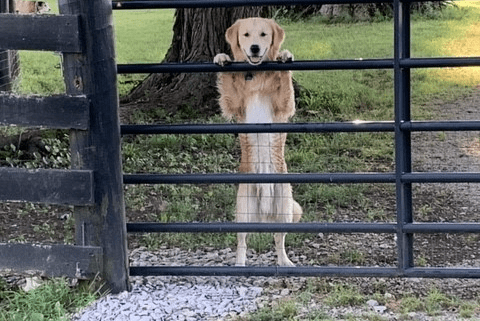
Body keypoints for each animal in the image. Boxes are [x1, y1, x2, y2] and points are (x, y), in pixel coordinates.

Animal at [215, 18, 302, 268]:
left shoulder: (283, 105)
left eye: (264, 34)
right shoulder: (234, 103)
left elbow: (286, 84)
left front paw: (285, 55)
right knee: (242, 242)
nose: (254, 48)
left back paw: (285, 262)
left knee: (279, 239)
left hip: (285, 208)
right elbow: (226, 85)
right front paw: (221, 57)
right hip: (243, 211)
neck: (256, 74)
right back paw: (239, 264)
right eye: (246, 35)